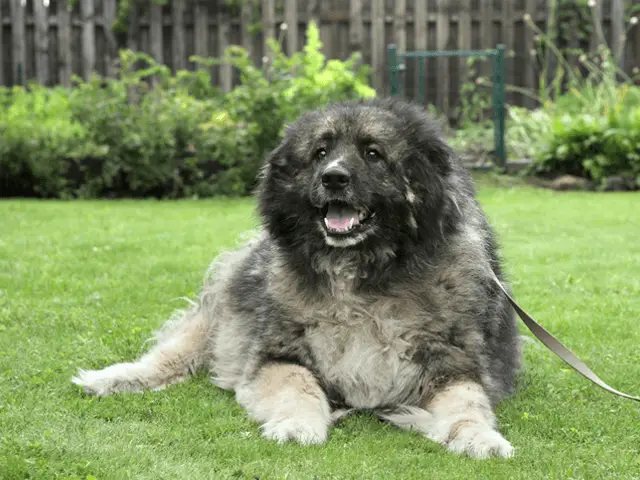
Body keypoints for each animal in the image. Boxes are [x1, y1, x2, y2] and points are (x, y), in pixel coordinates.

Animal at [71, 96, 520, 458]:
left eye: (373, 153)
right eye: (320, 152)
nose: (333, 177)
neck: (361, 277)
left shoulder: (454, 369)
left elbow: (468, 405)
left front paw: (479, 438)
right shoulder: (277, 356)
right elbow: (298, 386)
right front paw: (297, 425)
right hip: (218, 320)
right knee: (168, 356)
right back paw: (111, 378)